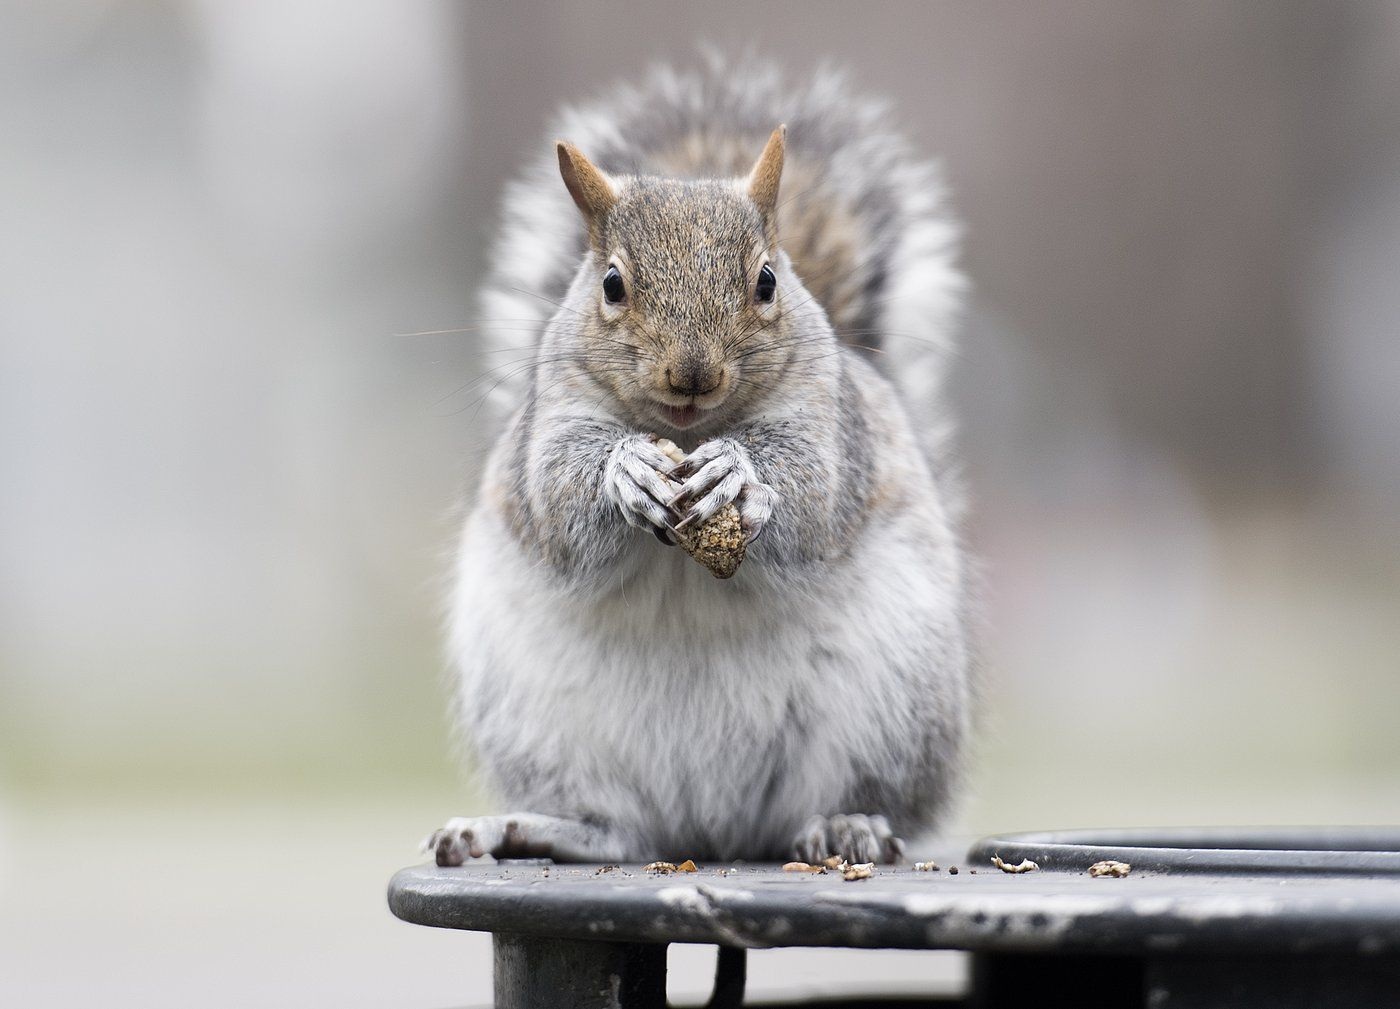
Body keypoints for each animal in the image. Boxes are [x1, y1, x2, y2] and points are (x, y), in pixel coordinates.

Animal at [426, 61, 971, 866]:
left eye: (768, 281)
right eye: (611, 284)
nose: (692, 374)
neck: (685, 431)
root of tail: (708, 830)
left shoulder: (835, 431)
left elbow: (812, 502)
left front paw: (740, 474)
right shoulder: (547, 429)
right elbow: (559, 509)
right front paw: (624, 471)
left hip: (894, 699)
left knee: (858, 797)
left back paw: (848, 824)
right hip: (533, 717)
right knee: (612, 828)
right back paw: (514, 828)